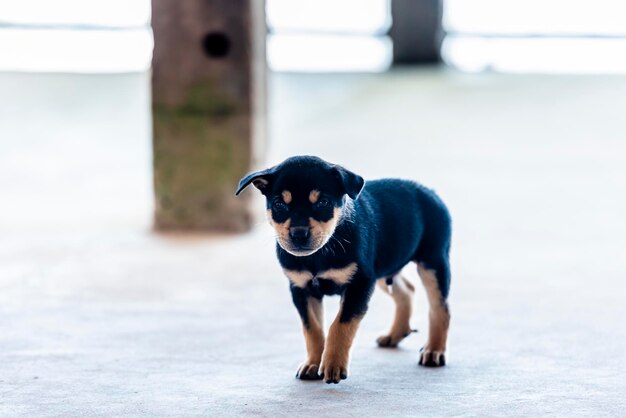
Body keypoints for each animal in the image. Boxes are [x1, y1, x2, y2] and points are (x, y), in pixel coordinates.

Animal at [234, 155, 448, 384]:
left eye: (323, 202)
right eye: (279, 204)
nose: (299, 234)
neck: (320, 254)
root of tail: (430, 191)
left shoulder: (359, 283)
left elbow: (340, 324)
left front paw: (333, 365)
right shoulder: (301, 289)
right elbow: (313, 329)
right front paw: (313, 363)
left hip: (433, 263)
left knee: (440, 308)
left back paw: (434, 351)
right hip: (385, 269)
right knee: (406, 290)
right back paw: (395, 335)